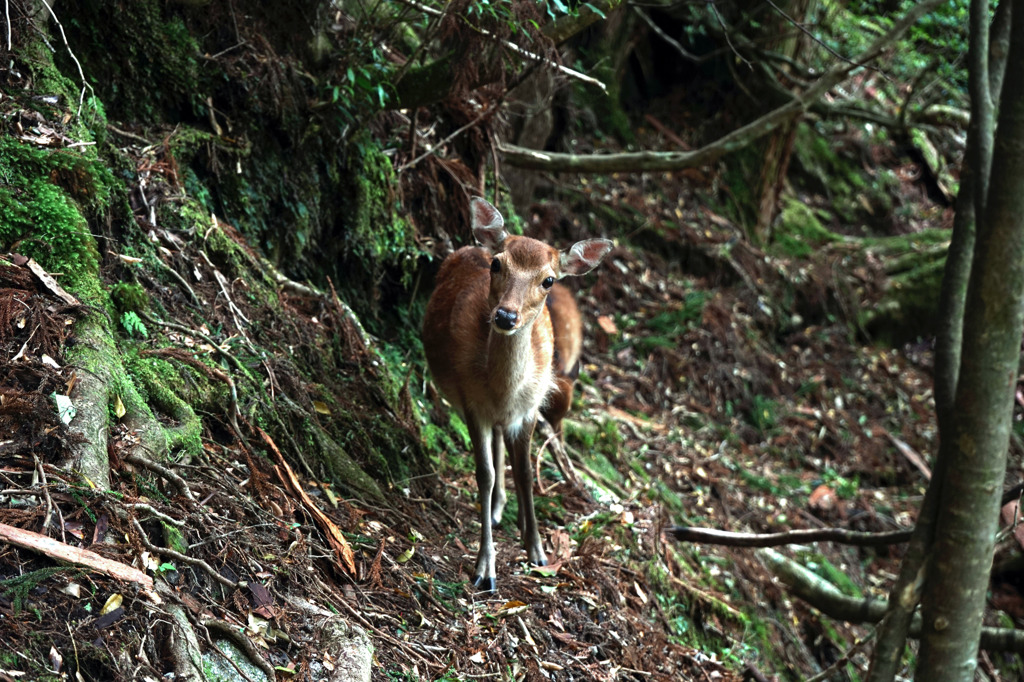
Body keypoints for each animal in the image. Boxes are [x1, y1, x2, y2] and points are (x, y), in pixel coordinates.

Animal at [421, 196, 610, 589]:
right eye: (498, 264)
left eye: (548, 279)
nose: (506, 316)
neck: (502, 388)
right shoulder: (471, 401)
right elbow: (485, 473)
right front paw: (485, 569)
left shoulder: (529, 408)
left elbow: (525, 472)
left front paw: (537, 551)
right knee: (495, 451)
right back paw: (496, 509)